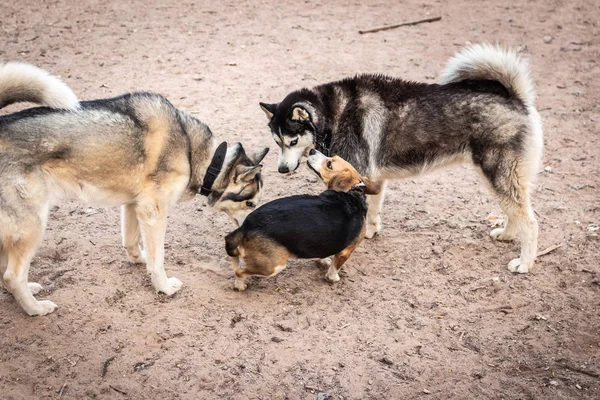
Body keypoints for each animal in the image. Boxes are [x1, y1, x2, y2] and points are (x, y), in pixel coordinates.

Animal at [0, 62, 268, 314]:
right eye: (250, 203)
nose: (256, 226)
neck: (195, 152)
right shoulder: (153, 212)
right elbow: (158, 259)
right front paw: (164, 287)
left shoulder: (133, 205)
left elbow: (132, 243)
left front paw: (140, 261)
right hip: (33, 225)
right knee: (12, 276)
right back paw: (35, 308)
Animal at [225, 149, 380, 290]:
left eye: (329, 163)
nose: (312, 150)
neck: (352, 193)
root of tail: (246, 226)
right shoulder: (346, 252)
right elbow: (335, 268)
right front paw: (333, 277)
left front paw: (323, 260)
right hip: (274, 266)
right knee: (239, 271)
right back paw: (240, 286)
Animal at [258, 44, 544, 276]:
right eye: (276, 142)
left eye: (292, 141)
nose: (281, 170)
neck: (332, 114)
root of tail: (515, 97)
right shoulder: (372, 177)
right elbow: (373, 209)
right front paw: (371, 231)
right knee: (515, 213)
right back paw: (506, 235)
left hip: (498, 175)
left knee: (529, 222)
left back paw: (524, 263)